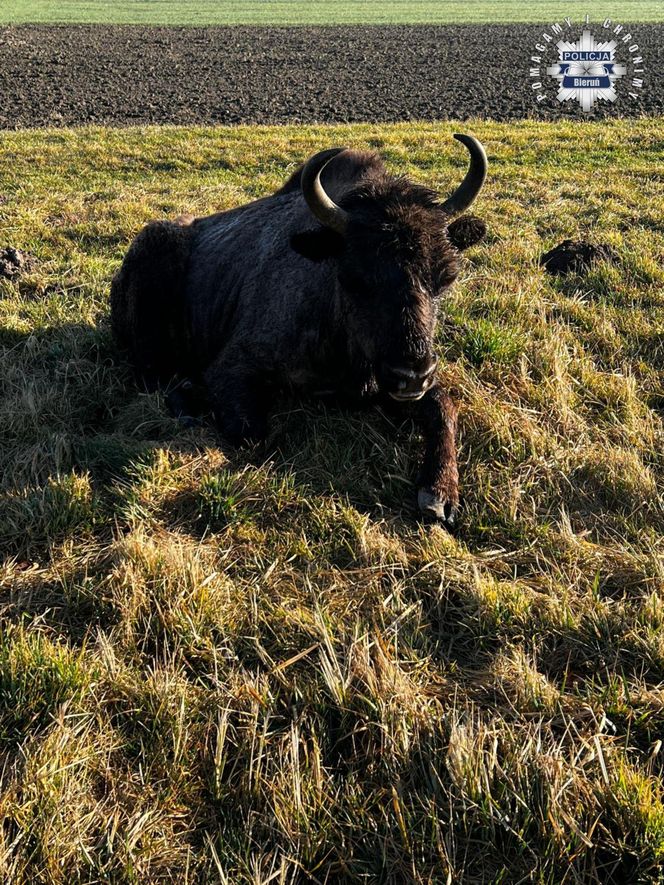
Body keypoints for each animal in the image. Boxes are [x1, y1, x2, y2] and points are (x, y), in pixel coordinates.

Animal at [111, 135, 488, 528]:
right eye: (353, 277)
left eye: (447, 276)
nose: (410, 375)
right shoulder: (233, 368)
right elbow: (252, 435)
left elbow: (443, 406)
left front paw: (439, 495)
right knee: (154, 377)